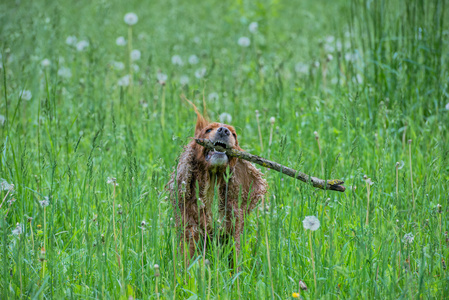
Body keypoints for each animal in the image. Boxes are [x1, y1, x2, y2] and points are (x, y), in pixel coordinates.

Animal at [167, 105, 266, 260]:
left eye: (234, 134)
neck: (212, 180)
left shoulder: (232, 234)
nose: (224, 130)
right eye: (208, 130)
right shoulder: (191, 231)